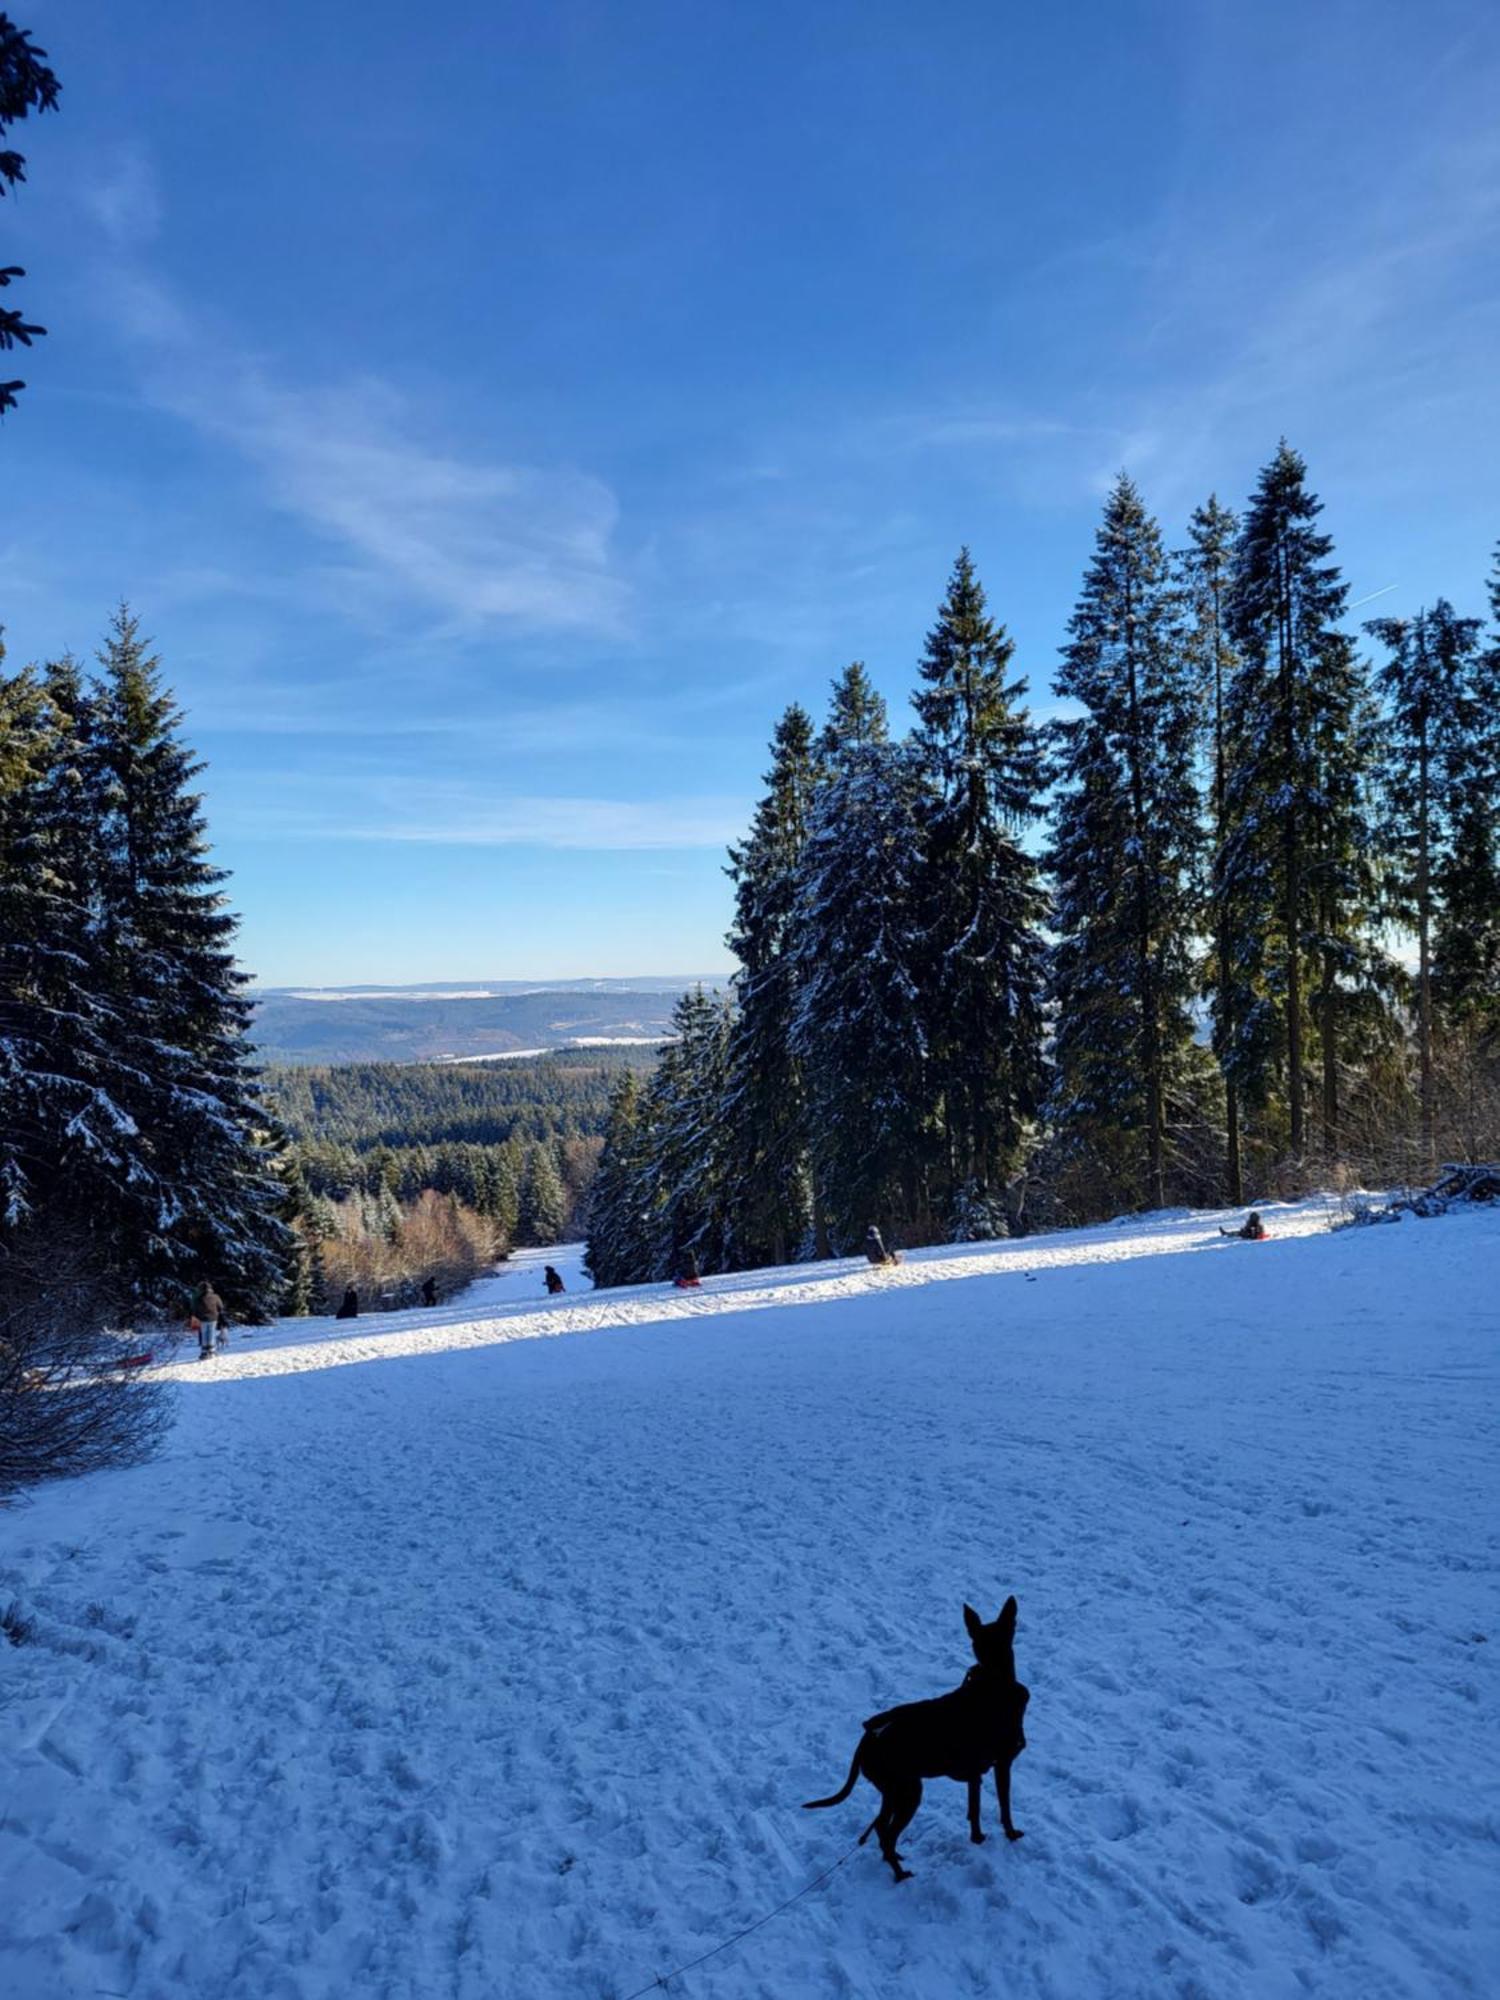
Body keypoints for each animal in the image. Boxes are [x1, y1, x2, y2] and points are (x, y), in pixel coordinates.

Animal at [800, 1592, 1032, 1872]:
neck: (994, 1680)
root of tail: (867, 1739)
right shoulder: (1003, 1764)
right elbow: (1004, 1806)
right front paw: (1011, 1834)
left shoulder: (975, 1773)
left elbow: (974, 1810)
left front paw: (977, 1838)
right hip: (909, 1790)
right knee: (888, 1833)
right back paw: (901, 1874)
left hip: (892, 1791)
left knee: (880, 1827)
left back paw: (895, 1859)